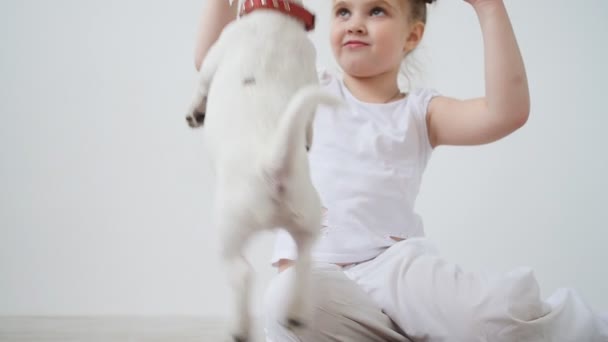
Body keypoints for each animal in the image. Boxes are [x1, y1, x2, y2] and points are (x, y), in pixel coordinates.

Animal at [184, 1, 338, 340]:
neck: (275, 17)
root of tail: (272, 164)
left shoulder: (214, 56)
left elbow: (201, 84)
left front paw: (195, 112)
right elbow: (309, 120)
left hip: (228, 230)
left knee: (241, 273)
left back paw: (239, 328)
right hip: (308, 220)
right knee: (303, 262)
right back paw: (296, 313)